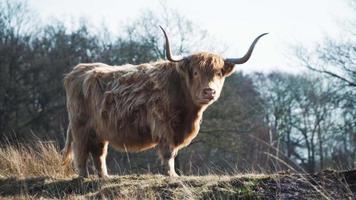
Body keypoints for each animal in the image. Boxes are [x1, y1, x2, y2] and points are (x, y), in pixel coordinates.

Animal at [62, 26, 268, 177]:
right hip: (80, 127)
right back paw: (84, 177)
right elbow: (168, 152)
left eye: (218, 73)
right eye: (195, 73)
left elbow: (174, 152)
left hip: (100, 129)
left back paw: (104, 177)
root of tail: (77, 71)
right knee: (81, 151)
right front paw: (172, 175)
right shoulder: (164, 124)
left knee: (98, 153)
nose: (209, 91)